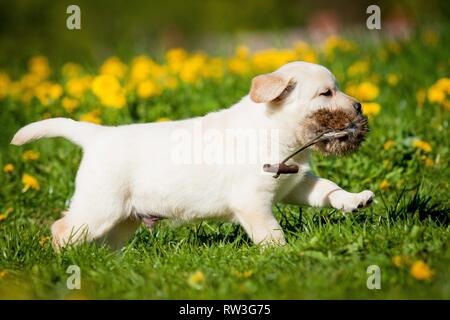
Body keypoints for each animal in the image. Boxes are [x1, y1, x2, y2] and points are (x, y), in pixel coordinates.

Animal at [12, 60, 374, 250]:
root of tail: (97, 135)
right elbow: (270, 232)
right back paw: (67, 260)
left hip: (124, 217)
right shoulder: (252, 201)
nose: (359, 106)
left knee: (108, 242)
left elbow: (328, 188)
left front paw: (354, 200)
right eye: (326, 93)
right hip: (100, 207)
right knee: (62, 228)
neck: (274, 130)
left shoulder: (297, 183)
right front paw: (284, 254)